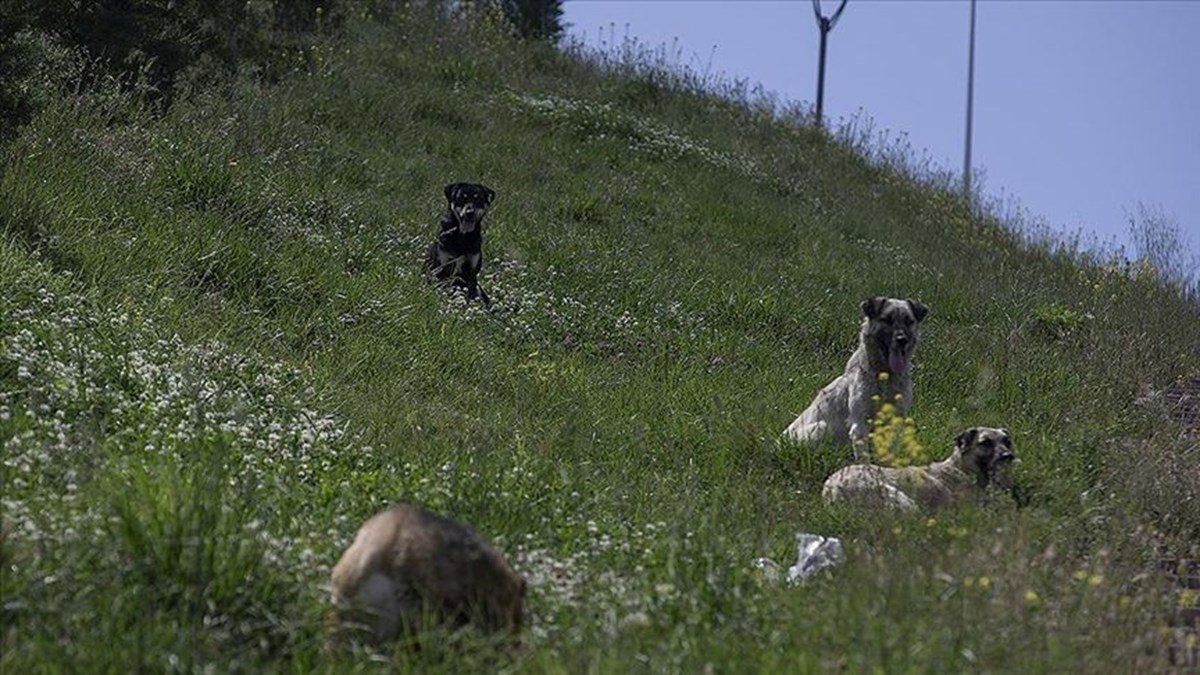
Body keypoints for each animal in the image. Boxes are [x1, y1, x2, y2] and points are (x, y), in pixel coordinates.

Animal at [825, 425, 1012, 509]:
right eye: (985, 442)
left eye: (1007, 441)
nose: (1008, 456)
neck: (960, 468)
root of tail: (831, 489)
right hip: (897, 497)